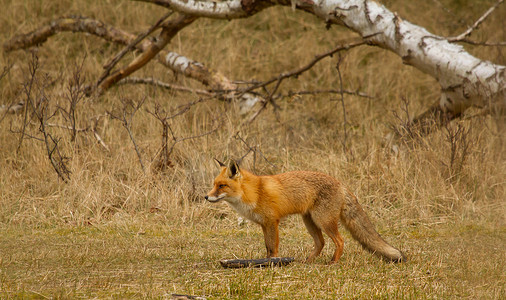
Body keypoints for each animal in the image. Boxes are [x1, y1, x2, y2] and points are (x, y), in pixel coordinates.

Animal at [204, 159, 406, 262]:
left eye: (221, 186)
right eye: (214, 185)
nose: (206, 197)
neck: (254, 192)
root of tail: (340, 183)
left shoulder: (272, 222)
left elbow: (273, 247)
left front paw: (272, 264)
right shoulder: (264, 224)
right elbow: (267, 247)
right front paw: (266, 261)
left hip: (323, 221)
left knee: (340, 241)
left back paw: (333, 262)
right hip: (310, 221)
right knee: (321, 243)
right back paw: (308, 261)